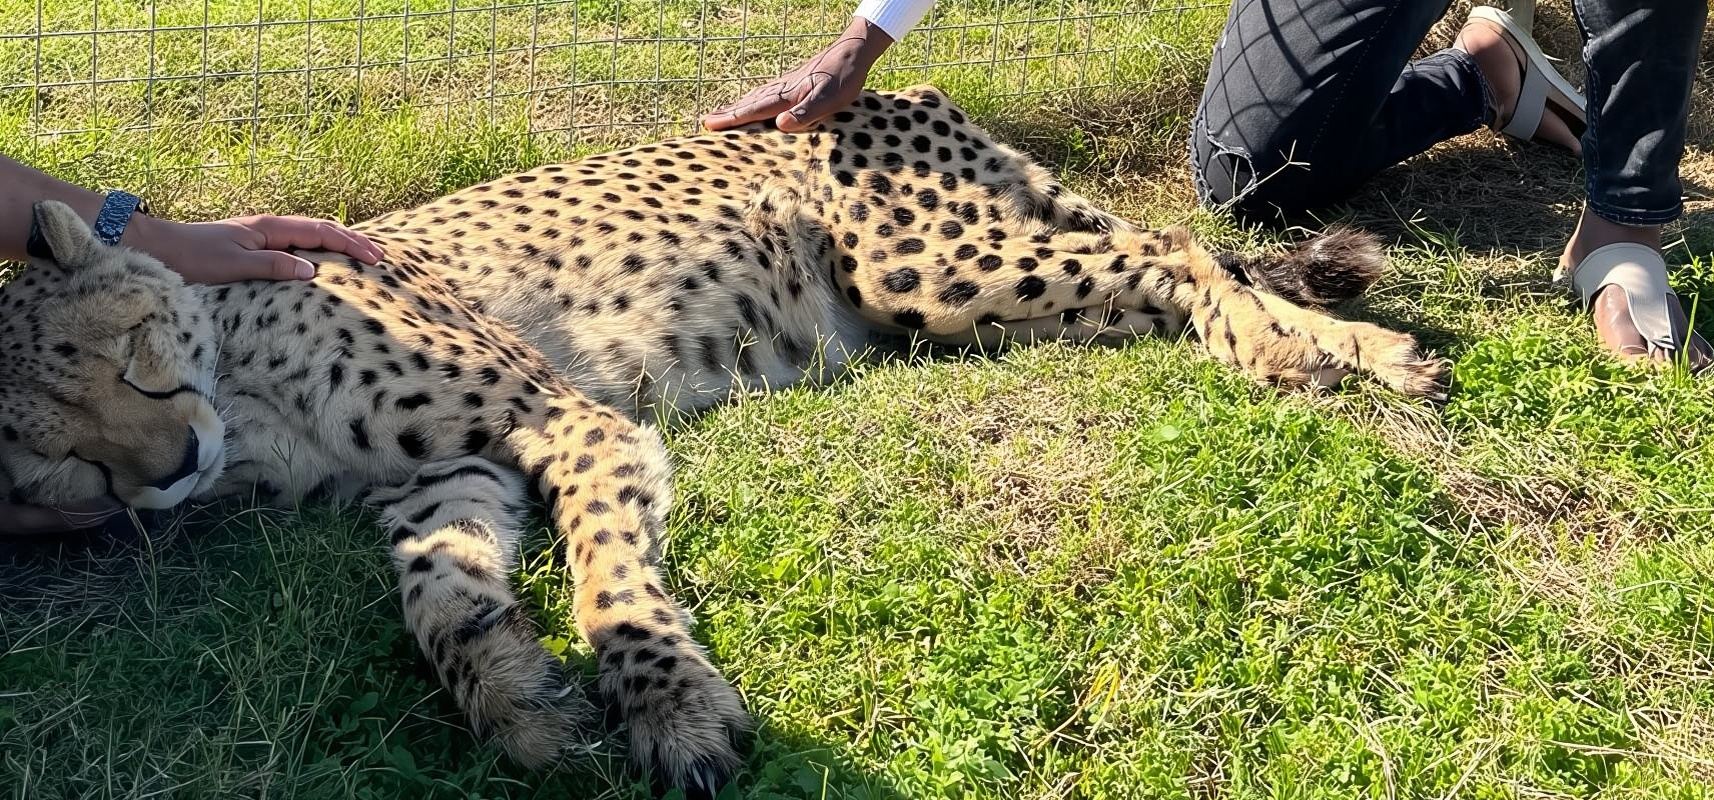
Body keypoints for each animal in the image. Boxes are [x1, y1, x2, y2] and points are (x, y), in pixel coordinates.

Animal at [0, 85, 1446, 796]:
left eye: (115, 356)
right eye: (49, 460)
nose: (164, 470)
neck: (242, 394)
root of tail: (902, 84)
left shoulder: (565, 416)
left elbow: (606, 574)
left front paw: (669, 707)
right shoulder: (441, 477)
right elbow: (437, 597)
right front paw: (516, 698)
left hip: (921, 265)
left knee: (1170, 252)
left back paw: (1293, 352)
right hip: (961, 291)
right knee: (1167, 262)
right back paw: (1359, 350)